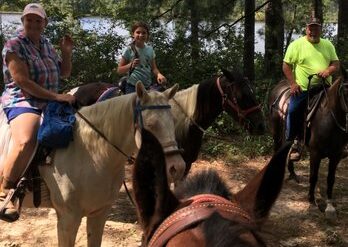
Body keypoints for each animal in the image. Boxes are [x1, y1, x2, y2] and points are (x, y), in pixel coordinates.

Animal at [0, 82, 186, 246]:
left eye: (173, 122)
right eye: (150, 126)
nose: (176, 167)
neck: (91, 153)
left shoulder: (99, 214)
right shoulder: (68, 220)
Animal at [270, 68, 348, 220]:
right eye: (346, 91)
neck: (329, 118)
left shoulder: (336, 155)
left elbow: (331, 179)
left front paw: (330, 206)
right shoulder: (315, 153)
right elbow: (313, 176)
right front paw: (312, 202)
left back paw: (293, 174)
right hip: (276, 131)